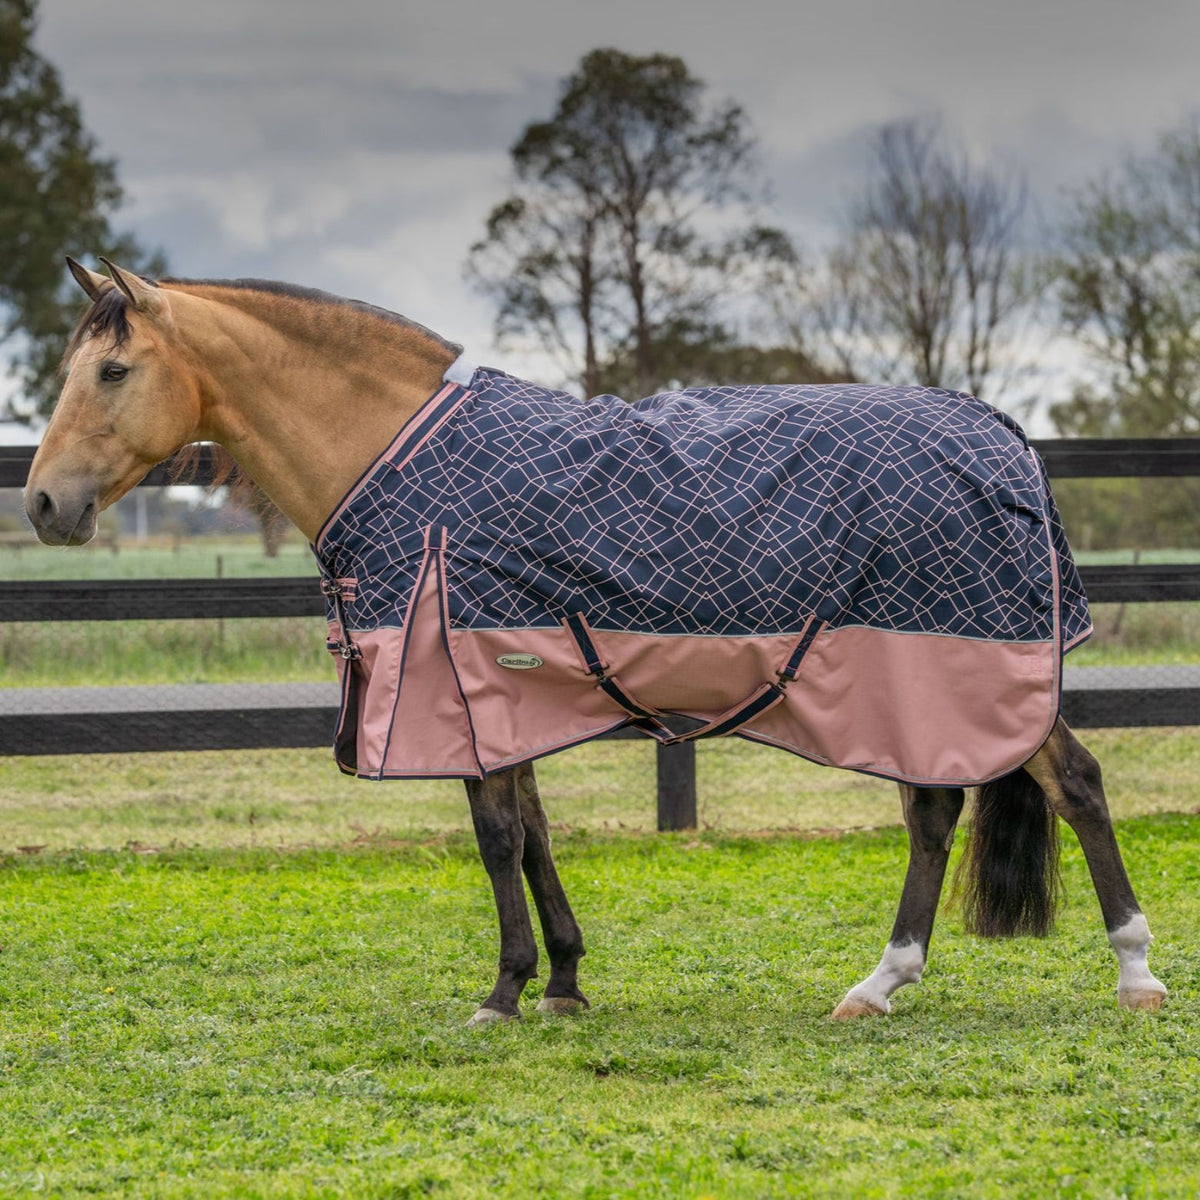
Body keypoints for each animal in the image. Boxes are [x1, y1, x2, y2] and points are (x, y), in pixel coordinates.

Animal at [24, 257, 1167, 1023]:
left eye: (113, 370)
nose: (41, 503)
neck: (396, 455)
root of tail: (1003, 435)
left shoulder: (454, 681)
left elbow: (495, 836)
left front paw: (503, 991)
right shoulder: (500, 687)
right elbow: (531, 831)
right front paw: (565, 981)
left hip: (956, 666)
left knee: (1074, 785)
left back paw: (1134, 971)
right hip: (922, 680)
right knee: (937, 810)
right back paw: (880, 983)